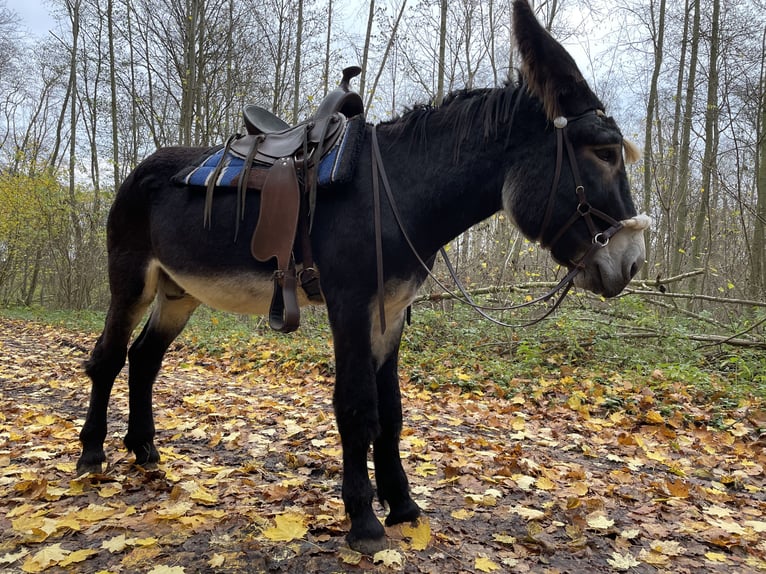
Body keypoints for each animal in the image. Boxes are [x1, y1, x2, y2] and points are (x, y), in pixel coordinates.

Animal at [77, 0, 649, 554]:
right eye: (604, 153)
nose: (633, 262)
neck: (397, 192)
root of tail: (139, 169)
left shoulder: (391, 313)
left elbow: (391, 412)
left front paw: (404, 506)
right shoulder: (350, 305)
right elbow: (356, 406)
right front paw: (364, 520)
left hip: (178, 292)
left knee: (144, 359)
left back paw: (145, 449)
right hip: (131, 279)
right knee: (108, 358)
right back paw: (91, 455)